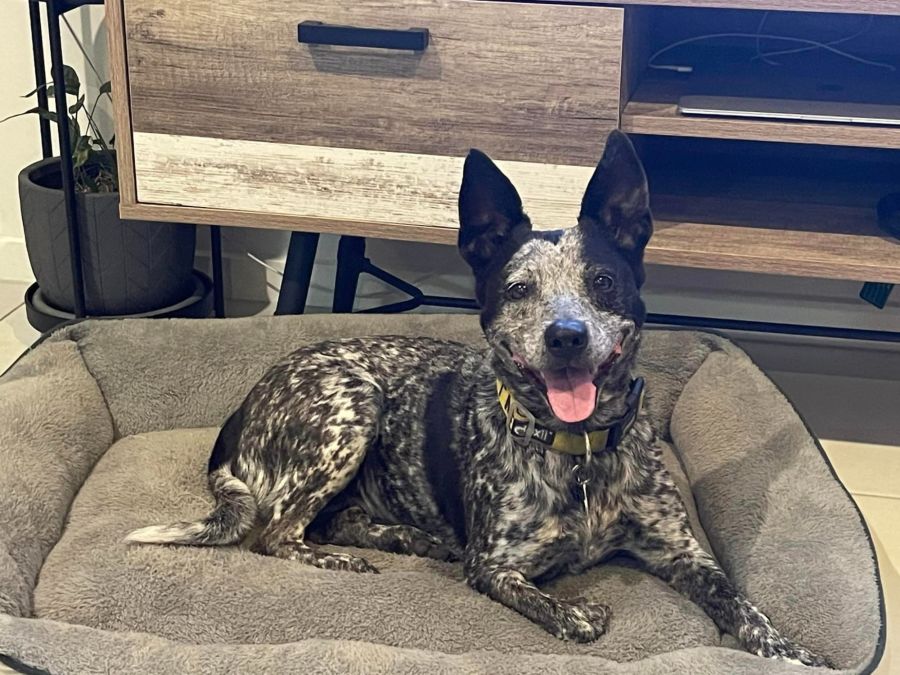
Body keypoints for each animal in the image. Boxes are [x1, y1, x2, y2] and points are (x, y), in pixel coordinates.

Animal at [126, 131, 828, 667]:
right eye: (518, 288)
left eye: (603, 281)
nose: (565, 336)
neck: (580, 453)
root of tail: (244, 406)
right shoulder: (494, 567)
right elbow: (569, 615)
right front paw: (580, 609)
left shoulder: (682, 552)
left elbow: (740, 601)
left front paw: (789, 650)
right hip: (353, 404)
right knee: (276, 533)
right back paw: (339, 560)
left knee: (332, 519)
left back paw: (407, 538)